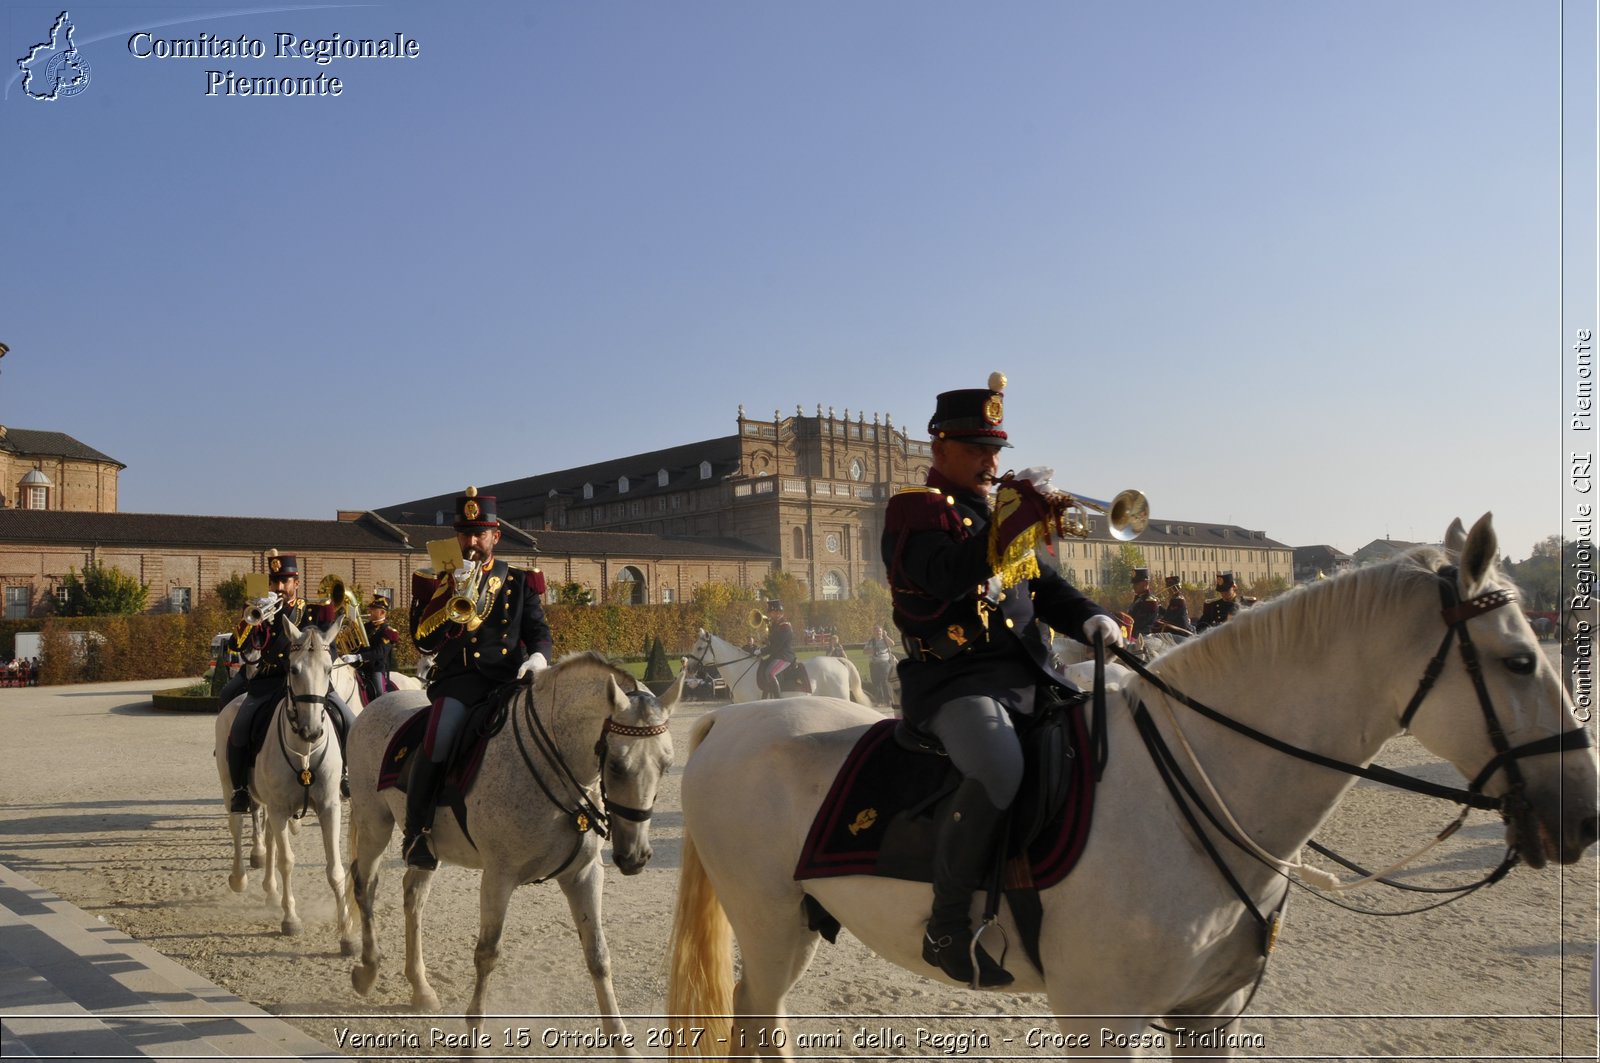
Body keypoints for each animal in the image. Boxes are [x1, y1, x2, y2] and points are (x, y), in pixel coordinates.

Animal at [212, 614, 356, 954]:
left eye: (328, 670)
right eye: (293, 669)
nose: (312, 729)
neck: (304, 751)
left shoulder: (329, 807)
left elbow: (335, 868)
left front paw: (347, 932)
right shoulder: (278, 809)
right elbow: (288, 861)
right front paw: (291, 919)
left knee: (269, 838)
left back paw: (270, 890)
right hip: (231, 788)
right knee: (238, 827)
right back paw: (240, 878)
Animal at [347, 653, 678, 1050]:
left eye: (667, 765)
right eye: (615, 763)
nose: (635, 857)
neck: (555, 766)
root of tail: (377, 703)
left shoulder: (584, 875)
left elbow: (598, 955)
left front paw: (622, 1043)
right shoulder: (498, 877)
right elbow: (487, 954)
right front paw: (472, 1043)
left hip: (427, 848)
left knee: (413, 897)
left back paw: (420, 986)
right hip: (374, 823)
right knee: (365, 884)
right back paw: (368, 969)